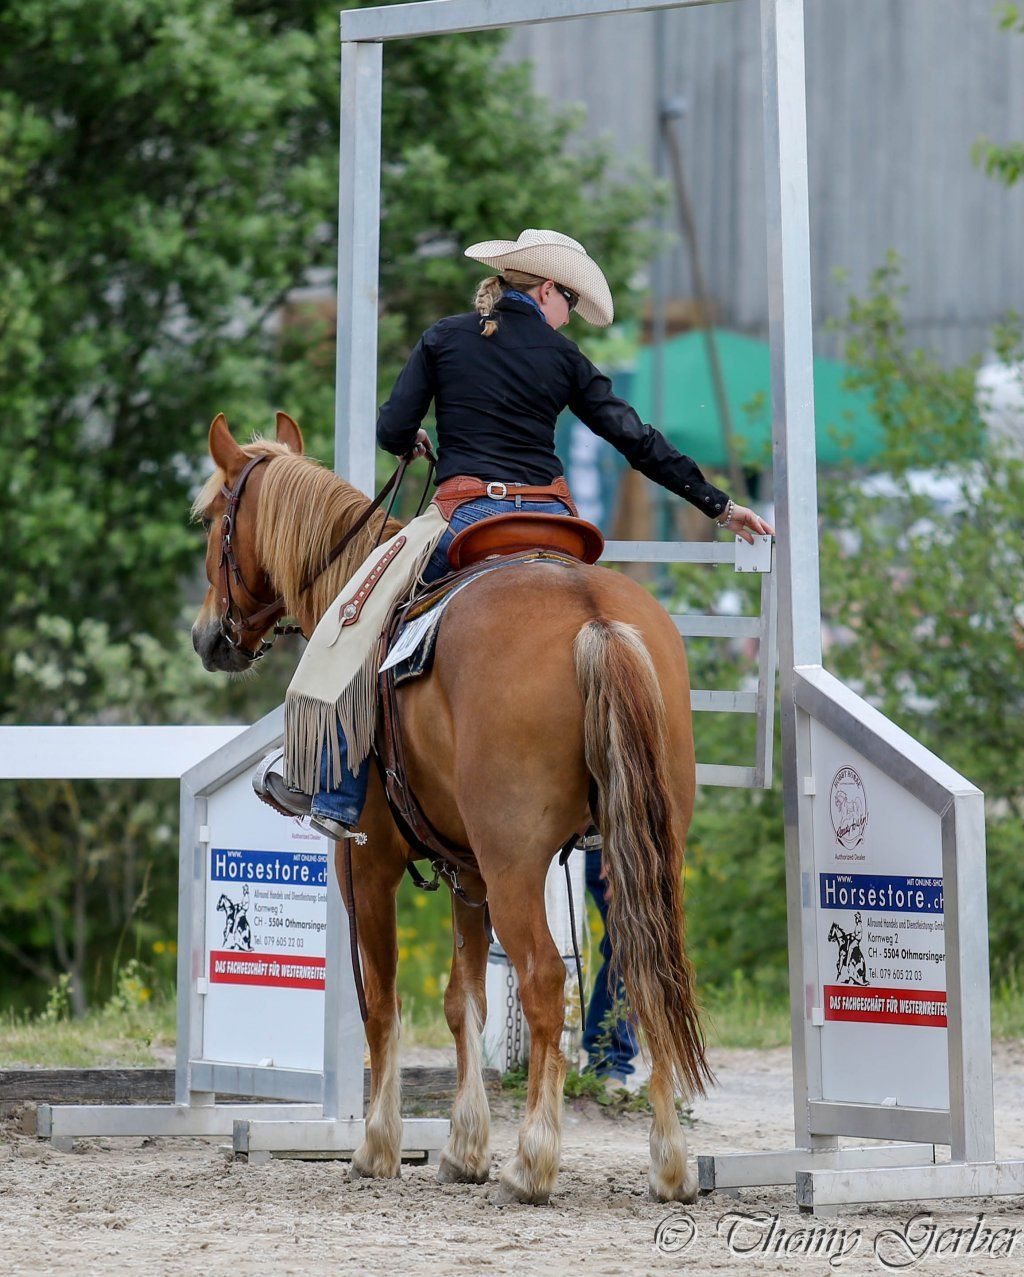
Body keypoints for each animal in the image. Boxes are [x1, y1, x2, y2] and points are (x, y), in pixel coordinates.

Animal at [191, 410, 713, 1205]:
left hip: (516, 864)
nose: (208, 635)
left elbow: (381, 999)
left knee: (545, 980)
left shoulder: (366, 863)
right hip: (642, 856)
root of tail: (593, 619)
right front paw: (466, 1148)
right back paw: (670, 1163)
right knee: (649, 978)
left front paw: (377, 1146)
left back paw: (534, 1161)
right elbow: (462, 999)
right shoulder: (468, 873)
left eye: (215, 518)